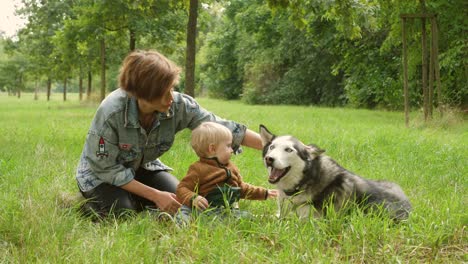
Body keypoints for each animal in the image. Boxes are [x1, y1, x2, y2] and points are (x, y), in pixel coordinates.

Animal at [260, 125, 414, 220]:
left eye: (288, 150)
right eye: (272, 147)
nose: (269, 159)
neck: (306, 180)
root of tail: (409, 206)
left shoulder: (310, 220)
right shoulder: (282, 214)